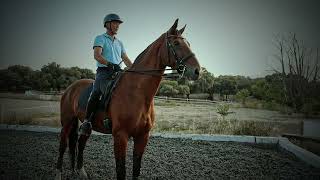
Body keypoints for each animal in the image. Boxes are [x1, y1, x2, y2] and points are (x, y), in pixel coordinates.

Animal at [55, 19, 200, 179]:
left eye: (188, 43)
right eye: (176, 43)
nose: (197, 71)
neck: (138, 94)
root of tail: (71, 88)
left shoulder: (142, 137)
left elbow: (136, 168)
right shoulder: (120, 136)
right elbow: (121, 170)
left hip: (86, 126)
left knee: (80, 144)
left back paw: (81, 172)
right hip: (67, 122)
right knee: (63, 146)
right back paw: (58, 173)